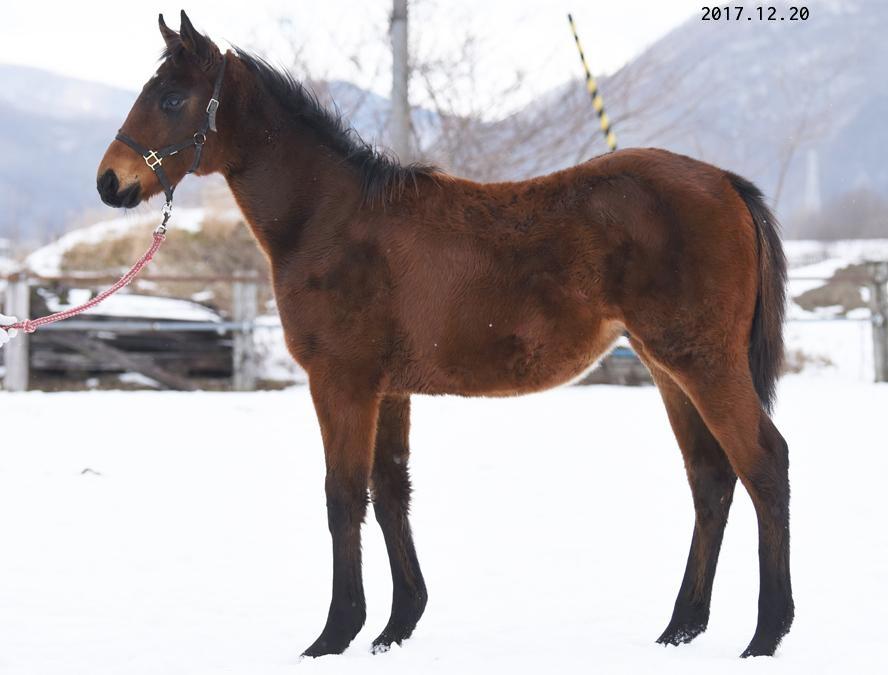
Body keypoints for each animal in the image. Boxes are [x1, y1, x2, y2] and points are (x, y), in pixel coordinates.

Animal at [96, 11, 793, 659]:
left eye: (171, 98)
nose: (109, 181)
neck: (332, 220)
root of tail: (726, 183)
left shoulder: (342, 383)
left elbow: (343, 497)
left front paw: (334, 634)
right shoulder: (388, 390)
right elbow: (390, 491)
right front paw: (396, 627)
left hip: (703, 362)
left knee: (764, 463)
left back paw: (766, 633)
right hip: (666, 366)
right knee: (710, 477)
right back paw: (681, 628)